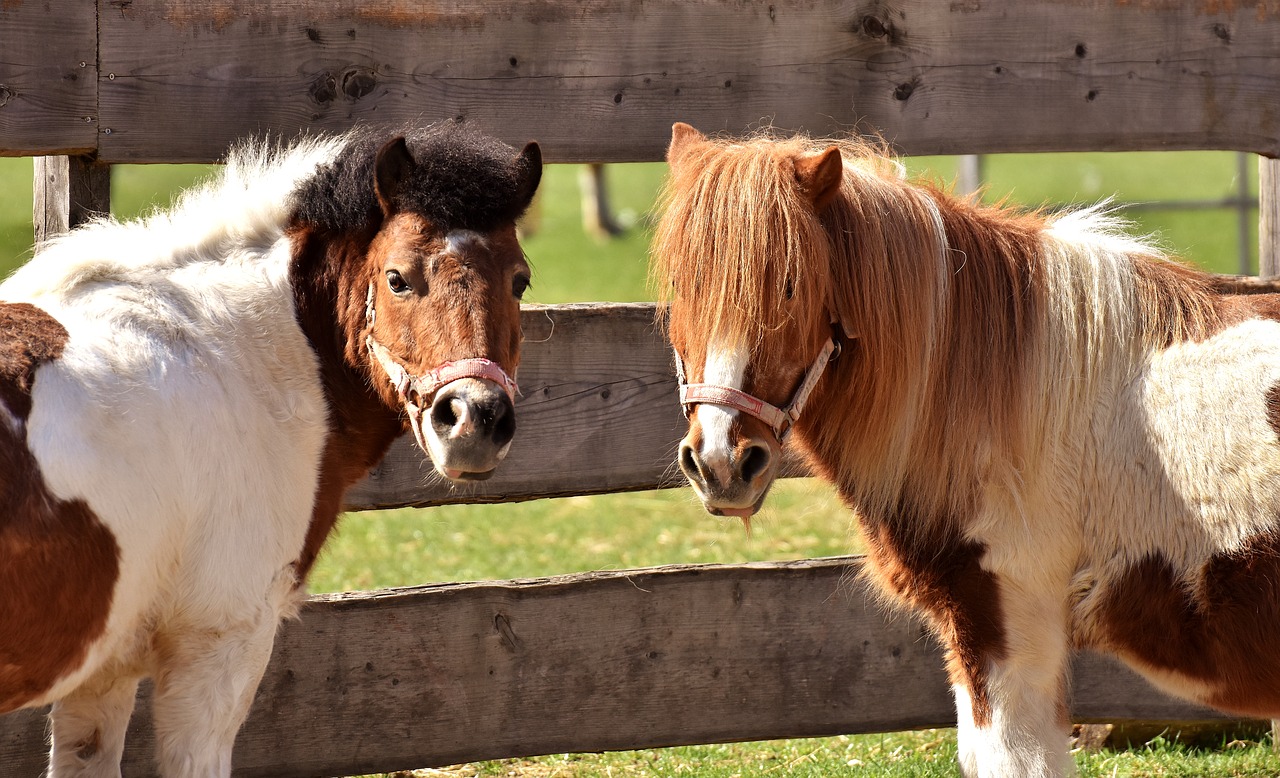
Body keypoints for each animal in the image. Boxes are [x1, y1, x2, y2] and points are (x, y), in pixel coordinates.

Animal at [0, 122, 540, 778]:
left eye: (520, 280)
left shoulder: (102, 676)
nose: (473, 419)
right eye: (397, 278)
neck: (226, 354)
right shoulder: (218, 649)